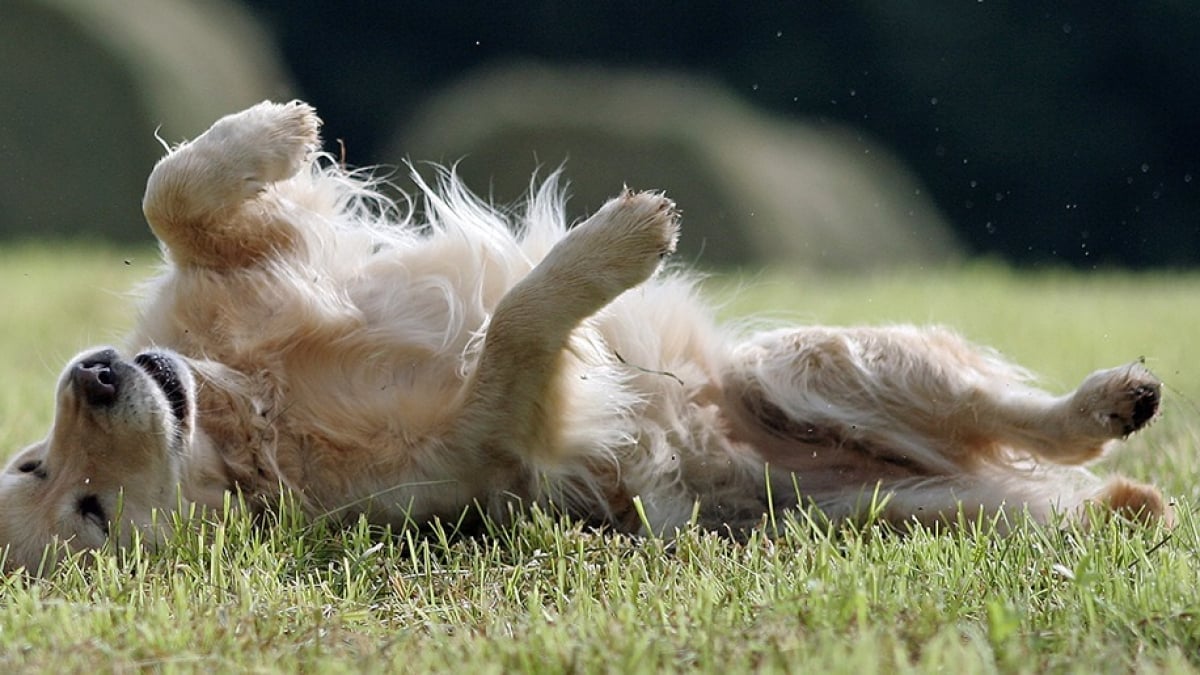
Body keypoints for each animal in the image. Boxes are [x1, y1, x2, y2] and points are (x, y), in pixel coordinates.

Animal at [0, 100, 1166, 571]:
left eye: (31, 460)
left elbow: (170, 192)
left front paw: (272, 132)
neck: (249, 409)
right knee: (1054, 457)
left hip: (805, 365)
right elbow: (520, 324)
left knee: (1019, 416)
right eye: (87, 511)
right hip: (886, 480)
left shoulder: (241, 274)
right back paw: (1118, 442)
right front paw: (618, 244)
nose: (94, 373)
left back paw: (1117, 397)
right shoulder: (499, 439)